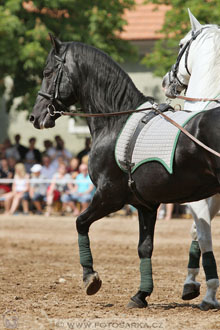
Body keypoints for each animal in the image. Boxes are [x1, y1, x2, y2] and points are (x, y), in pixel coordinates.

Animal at [30, 34, 220, 308]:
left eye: (47, 72)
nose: (35, 117)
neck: (114, 122)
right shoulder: (146, 205)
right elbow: (145, 247)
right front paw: (141, 294)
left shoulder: (109, 196)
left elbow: (80, 223)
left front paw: (90, 278)